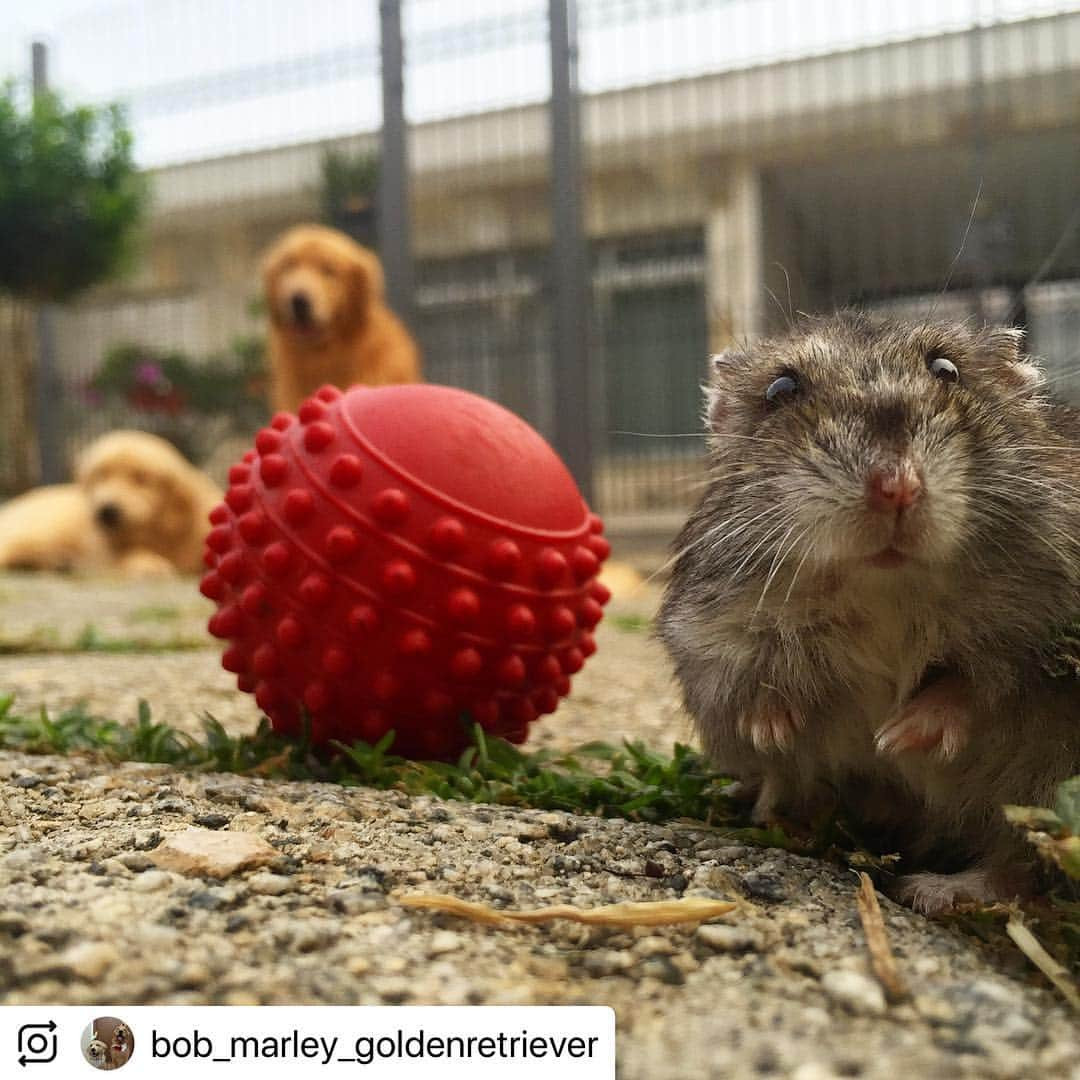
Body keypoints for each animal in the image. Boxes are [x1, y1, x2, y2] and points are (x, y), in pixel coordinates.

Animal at [652, 311, 1080, 911]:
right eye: (781, 389)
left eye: (947, 370)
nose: (896, 488)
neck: (885, 586)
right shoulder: (711, 634)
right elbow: (753, 685)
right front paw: (778, 731)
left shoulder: (1040, 640)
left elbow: (979, 685)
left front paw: (896, 735)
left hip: (1039, 790)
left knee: (1019, 860)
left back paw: (934, 889)